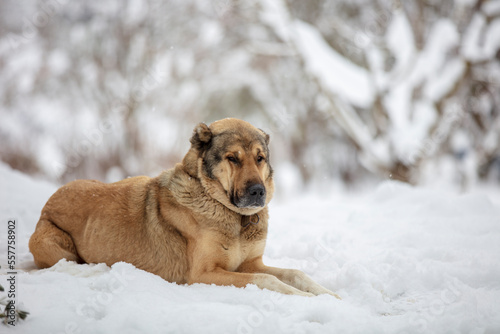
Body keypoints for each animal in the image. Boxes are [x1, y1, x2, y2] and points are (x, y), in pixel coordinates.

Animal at [28, 118, 340, 298]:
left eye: (260, 158)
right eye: (233, 158)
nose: (257, 192)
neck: (228, 212)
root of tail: (49, 202)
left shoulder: (251, 263)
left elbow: (295, 274)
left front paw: (329, 295)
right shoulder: (204, 274)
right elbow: (267, 280)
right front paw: (306, 299)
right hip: (54, 245)